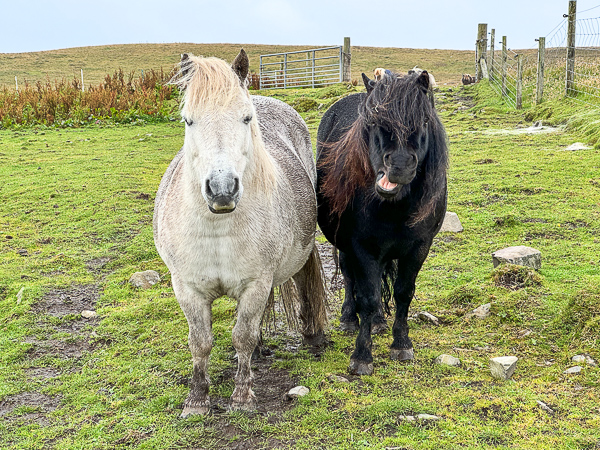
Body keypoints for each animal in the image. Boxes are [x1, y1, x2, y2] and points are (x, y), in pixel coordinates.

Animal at [152, 50, 326, 414]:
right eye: (188, 120)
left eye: (246, 119)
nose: (222, 190)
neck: (217, 230)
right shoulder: (187, 288)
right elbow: (201, 342)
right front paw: (197, 399)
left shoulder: (256, 284)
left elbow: (241, 336)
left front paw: (242, 397)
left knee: (303, 284)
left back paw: (313, 336)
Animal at [316, 70, 448, 376]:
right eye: (374, 122)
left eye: (424, 121)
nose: (399, 166)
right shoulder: (361, 247)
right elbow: (368, 297)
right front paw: (362, 356)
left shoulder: (419, 246)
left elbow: (403, 293)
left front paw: (401, 343)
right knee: (351, 278)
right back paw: (349, 318)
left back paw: (378, 322)